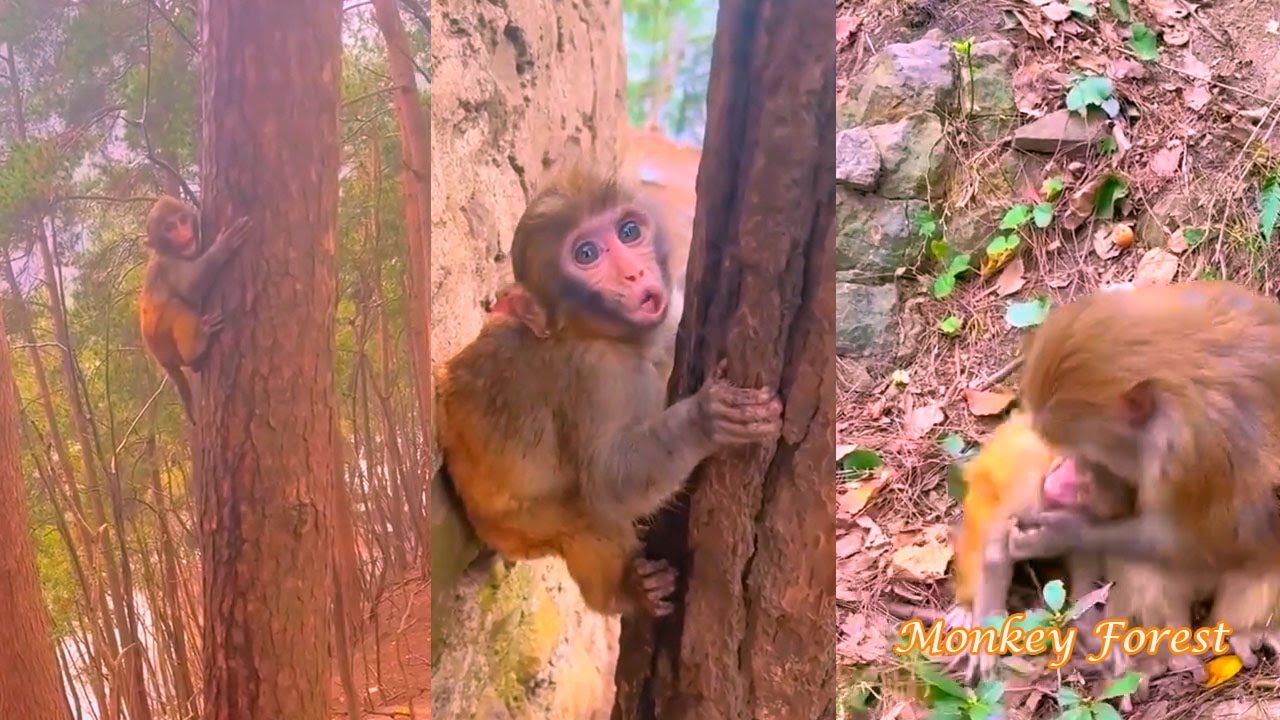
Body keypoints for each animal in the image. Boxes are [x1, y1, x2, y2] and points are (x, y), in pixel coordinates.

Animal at [139, 196, 251, 424]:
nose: (183, 232)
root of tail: (160, 360)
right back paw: (197, 345)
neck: (168, 252)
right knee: (177, 304)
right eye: (169, 227)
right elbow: (191, 288)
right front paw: (222, 248)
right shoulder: (169, 265)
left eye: (182, 221)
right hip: (165, 342)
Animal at [435, 164, 784, 617]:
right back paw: (628, 592)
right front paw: (706, 419)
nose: (634, 273)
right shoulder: (599, 374)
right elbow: (608, 482)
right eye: (586, 255)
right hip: (516, 524)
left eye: (629, 231)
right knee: (588, 515)